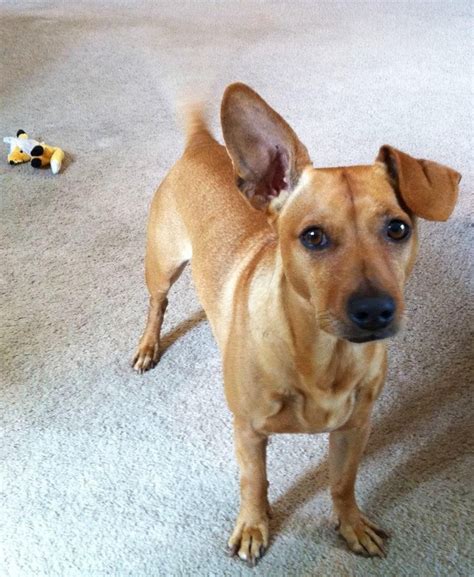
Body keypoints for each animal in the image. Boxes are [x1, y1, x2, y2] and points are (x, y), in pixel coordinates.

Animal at [131, 83, 462, 564]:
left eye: (398, 229)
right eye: (313, 237)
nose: (374, 310)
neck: (323, 358)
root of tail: (200, 146)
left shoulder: (354, 430)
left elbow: (343, 483)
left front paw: (351, 525)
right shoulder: (249, 433)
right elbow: (254, 483)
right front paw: (254, 525)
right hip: (162, 264)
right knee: (158, 304)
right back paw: (147, 345)